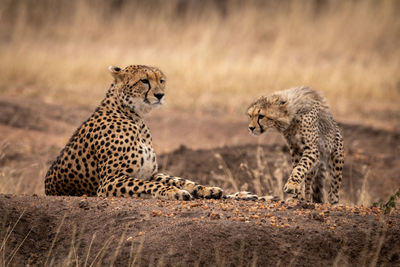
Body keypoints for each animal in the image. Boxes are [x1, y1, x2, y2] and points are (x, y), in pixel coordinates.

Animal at [46, 65, 225, 200]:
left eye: (161, 80)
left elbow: (179, 180)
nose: (160, 95)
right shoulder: (109, 181)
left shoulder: (150, 173)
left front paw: (208, 189)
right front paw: (174, 192)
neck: (136, 118)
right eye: (144, 81)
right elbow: (151, 184)